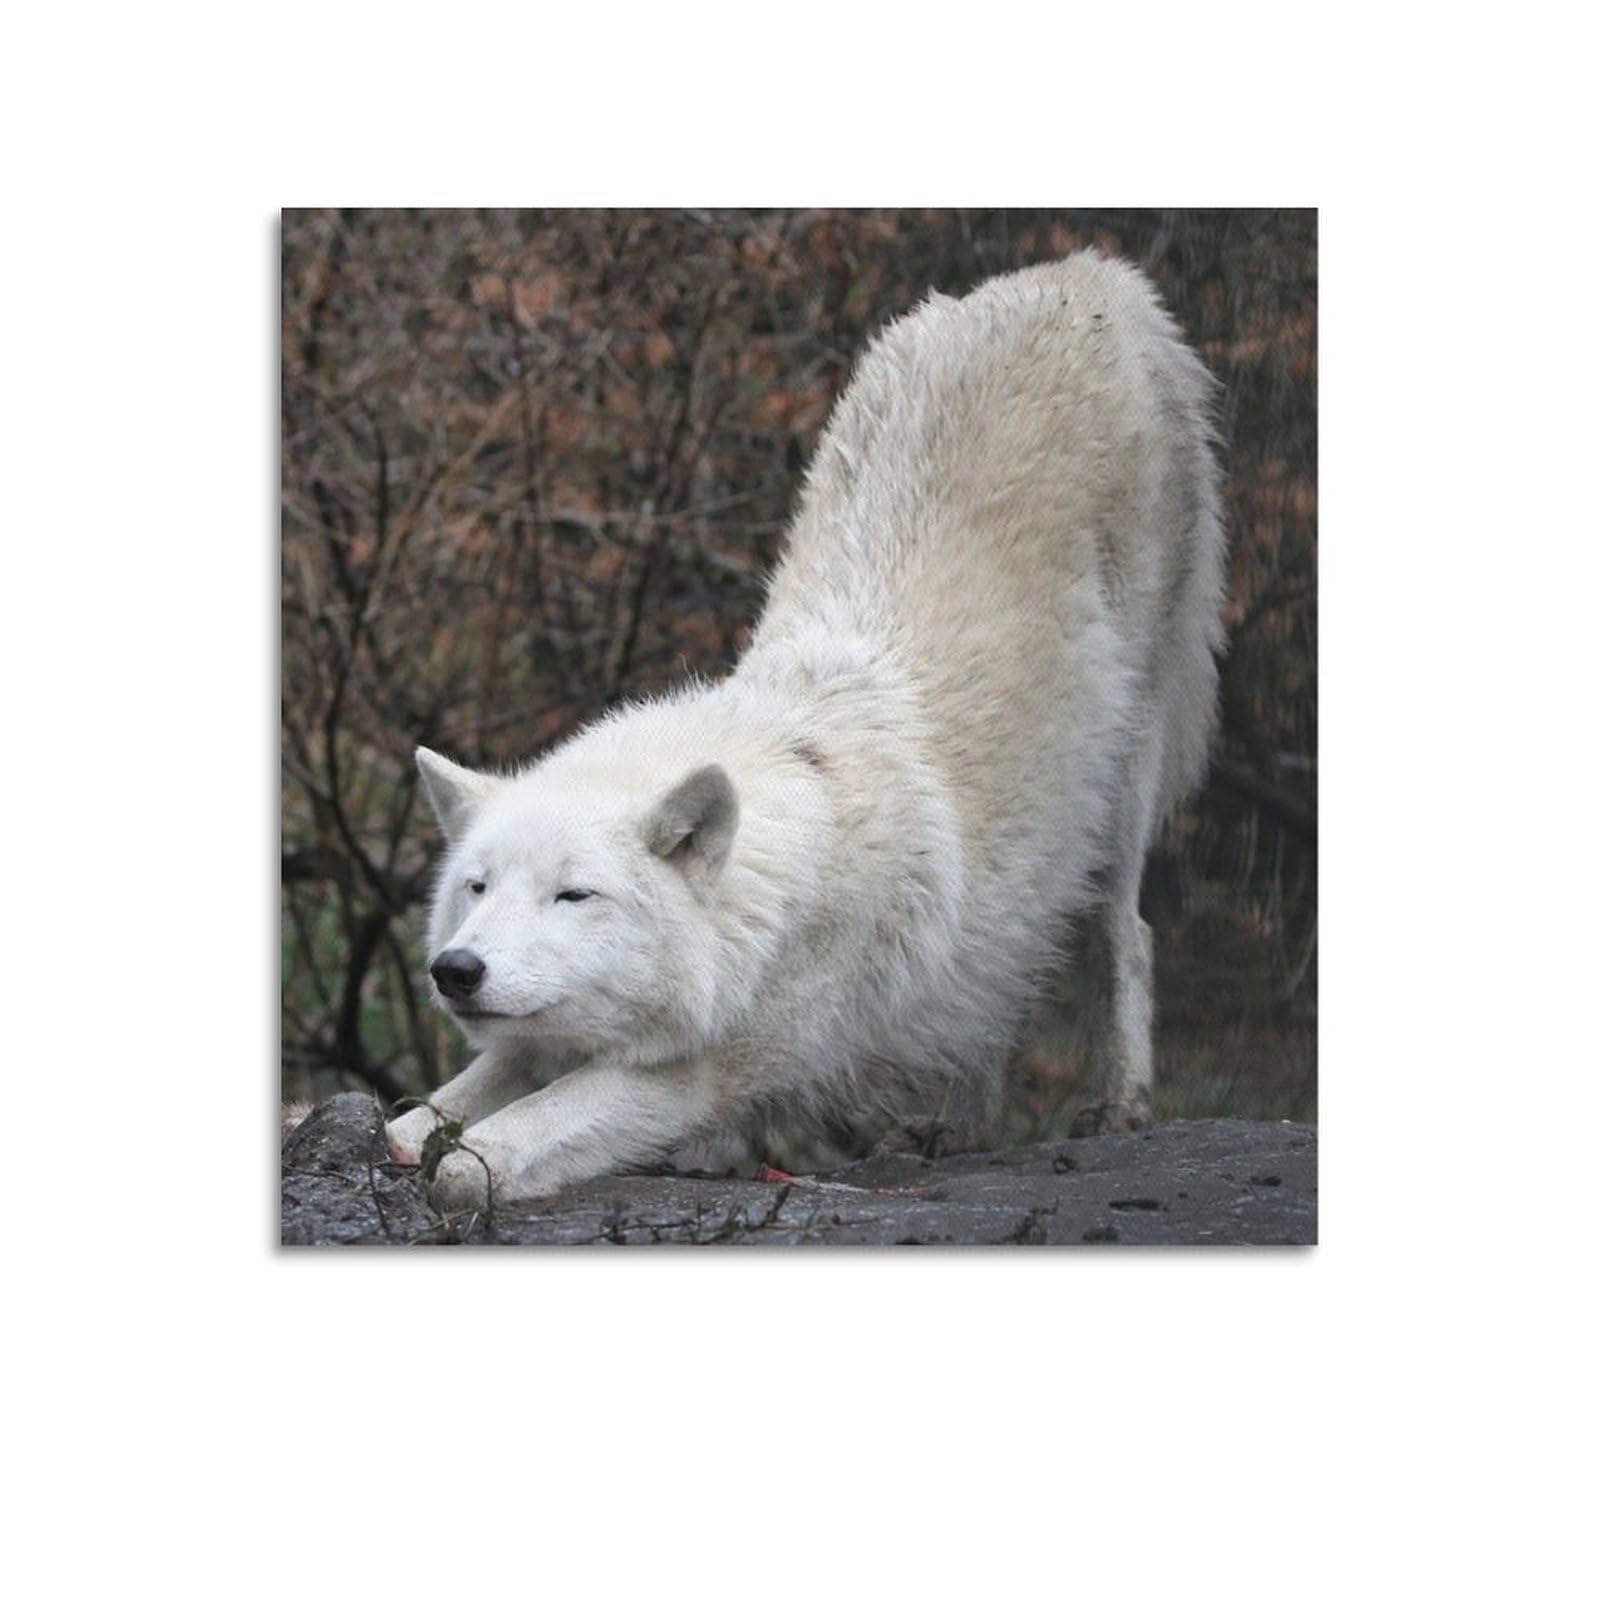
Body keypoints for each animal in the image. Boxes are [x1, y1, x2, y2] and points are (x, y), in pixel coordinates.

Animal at [386, 252, 1226, 1208]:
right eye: (477, 888)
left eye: (574, 896)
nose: (457, 970)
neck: (766, 911)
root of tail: (1086, 273)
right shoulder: (543, 1044)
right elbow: (422, 1118)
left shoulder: (700, 1071)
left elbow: (480, 1154)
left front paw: (466, 1165)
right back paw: (955, 1127)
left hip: (1121, 782)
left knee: (1126, 932)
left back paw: (1117, 1104)